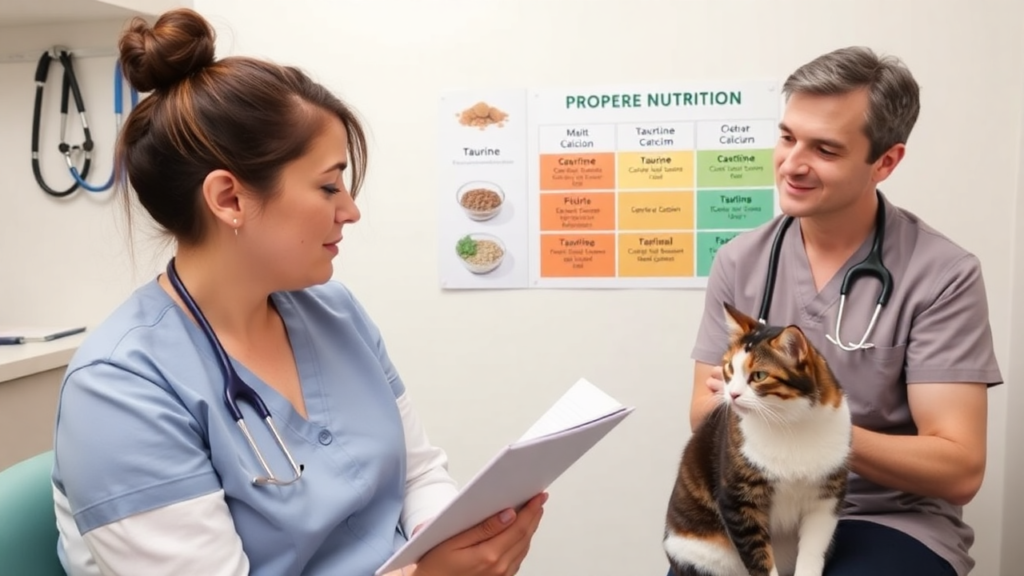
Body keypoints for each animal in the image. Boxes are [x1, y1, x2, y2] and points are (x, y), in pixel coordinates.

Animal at [663, 301, 847, 573]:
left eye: (759, 375)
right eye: (729, 367)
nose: (732, 394)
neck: (789, 424)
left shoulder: (825, 499)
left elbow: (813, 549)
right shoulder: (737, 502)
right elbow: (759, 559)